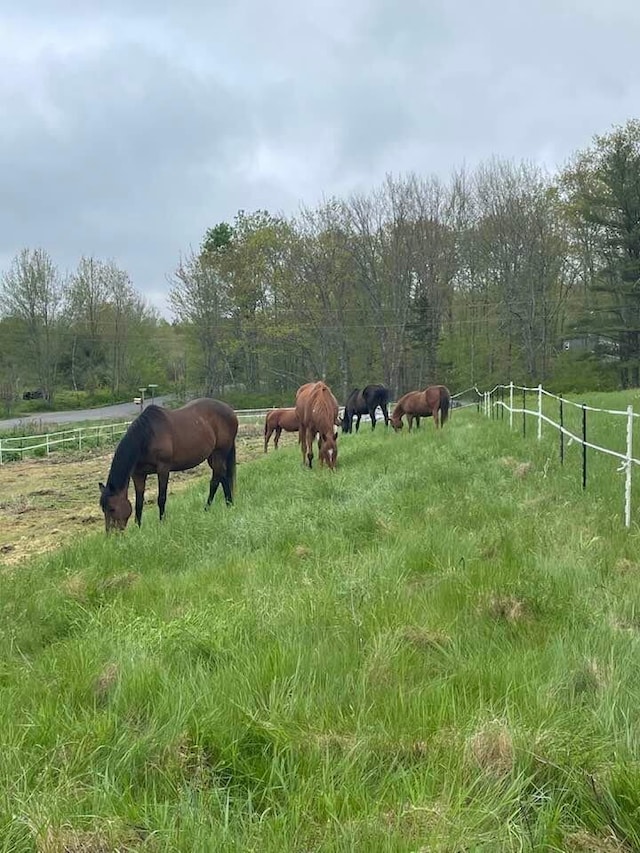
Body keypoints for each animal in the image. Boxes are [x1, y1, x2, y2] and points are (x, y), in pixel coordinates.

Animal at [99, 398, 239, 528]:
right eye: (103, 509)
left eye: (112, 508)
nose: (111, 535)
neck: (147, 437)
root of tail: (230, 410)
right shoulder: (138, 475)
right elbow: (139, 502)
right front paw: (139, 527)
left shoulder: (163, 469)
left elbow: (161, 498)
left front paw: (162, 523)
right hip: (212, 456)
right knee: (222, 476)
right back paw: (229, 504)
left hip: (219, 453)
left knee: (215, 481)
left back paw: (208, 509)